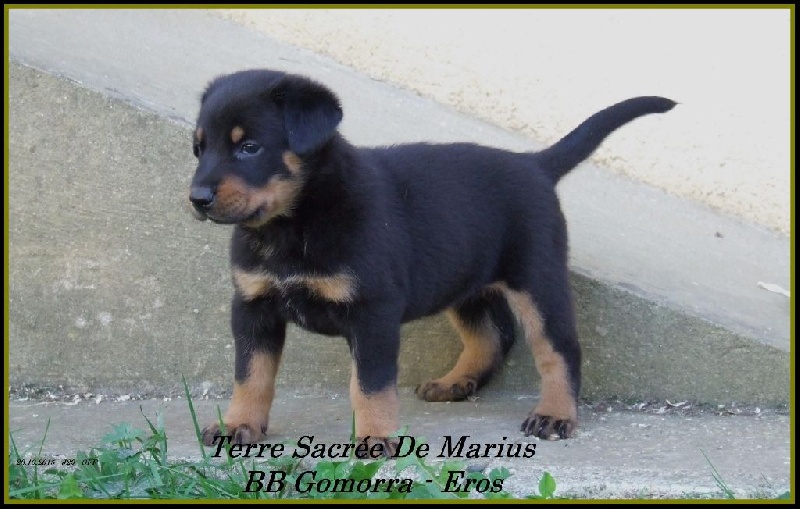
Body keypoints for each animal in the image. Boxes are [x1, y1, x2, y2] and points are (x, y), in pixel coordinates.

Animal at [188, 69, 674, 455]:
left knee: (558, 348)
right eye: (199, 149)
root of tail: (534, 163)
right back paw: (455, 382)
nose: (197, 198)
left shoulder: (373, 314)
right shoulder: (253, 307)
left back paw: (554, 415)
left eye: (250, 147)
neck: (293, 224)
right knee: (492, 335)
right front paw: (239, 425)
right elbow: (251, 373)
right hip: (464, 281)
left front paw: (375, 438)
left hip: (538, 279)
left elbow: (370, 384)